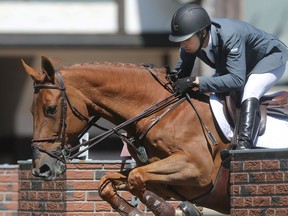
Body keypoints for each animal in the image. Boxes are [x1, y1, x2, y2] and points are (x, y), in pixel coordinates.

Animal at [21, 56, 235, 216]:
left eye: (50, 110)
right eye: (30, 111)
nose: (41, 169)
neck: (160, 112)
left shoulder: (198, 170)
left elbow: (134, 177)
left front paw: (177, 210)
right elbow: (108, 183)